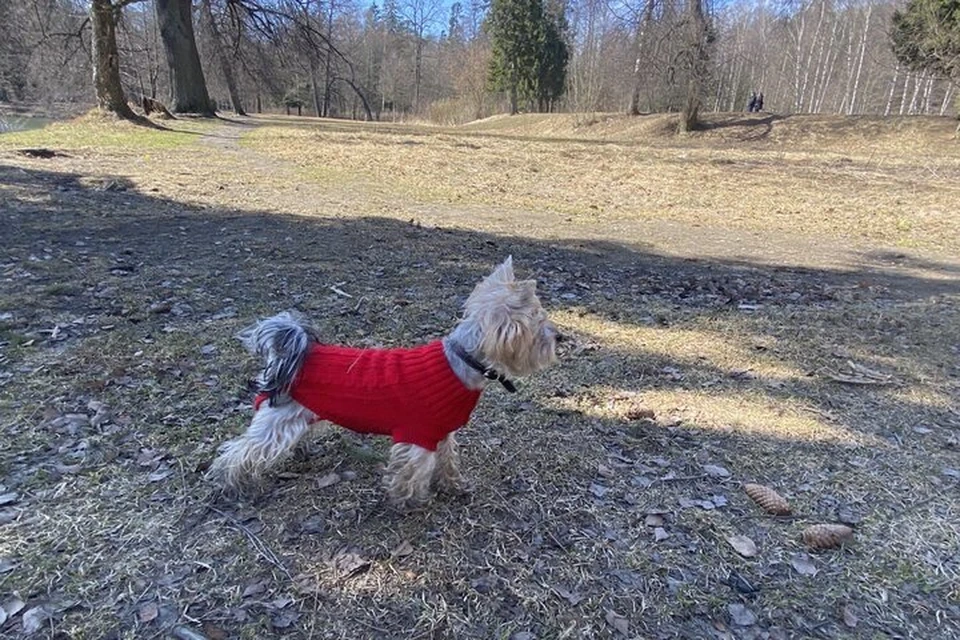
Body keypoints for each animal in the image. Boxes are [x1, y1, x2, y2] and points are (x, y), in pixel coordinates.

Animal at [206, 258, 560, 508]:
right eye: (541, 322)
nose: (560, 336)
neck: (462, 360)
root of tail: (292, 353)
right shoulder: (418, 434)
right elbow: (411, 472)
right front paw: (410, 500)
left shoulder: (441, 431)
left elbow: (448, 461)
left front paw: (454, 485)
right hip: (275, 423)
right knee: (240, 451)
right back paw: (232, 484)